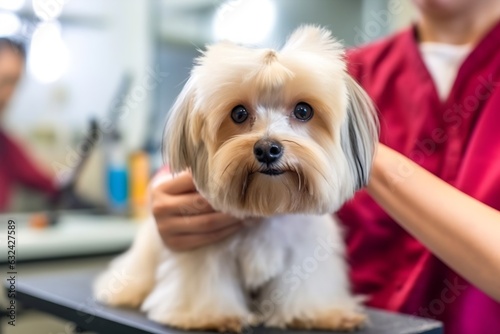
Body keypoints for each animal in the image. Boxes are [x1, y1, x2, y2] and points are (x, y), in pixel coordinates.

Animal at [93, 25, 376, 332]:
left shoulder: (305, 251)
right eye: (239, 113)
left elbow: (306, 286)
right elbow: (207, 282)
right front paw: (210, 315)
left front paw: (316, 313)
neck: (265, 211)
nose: (267, 148)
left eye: (303, 111)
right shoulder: (204, 250)